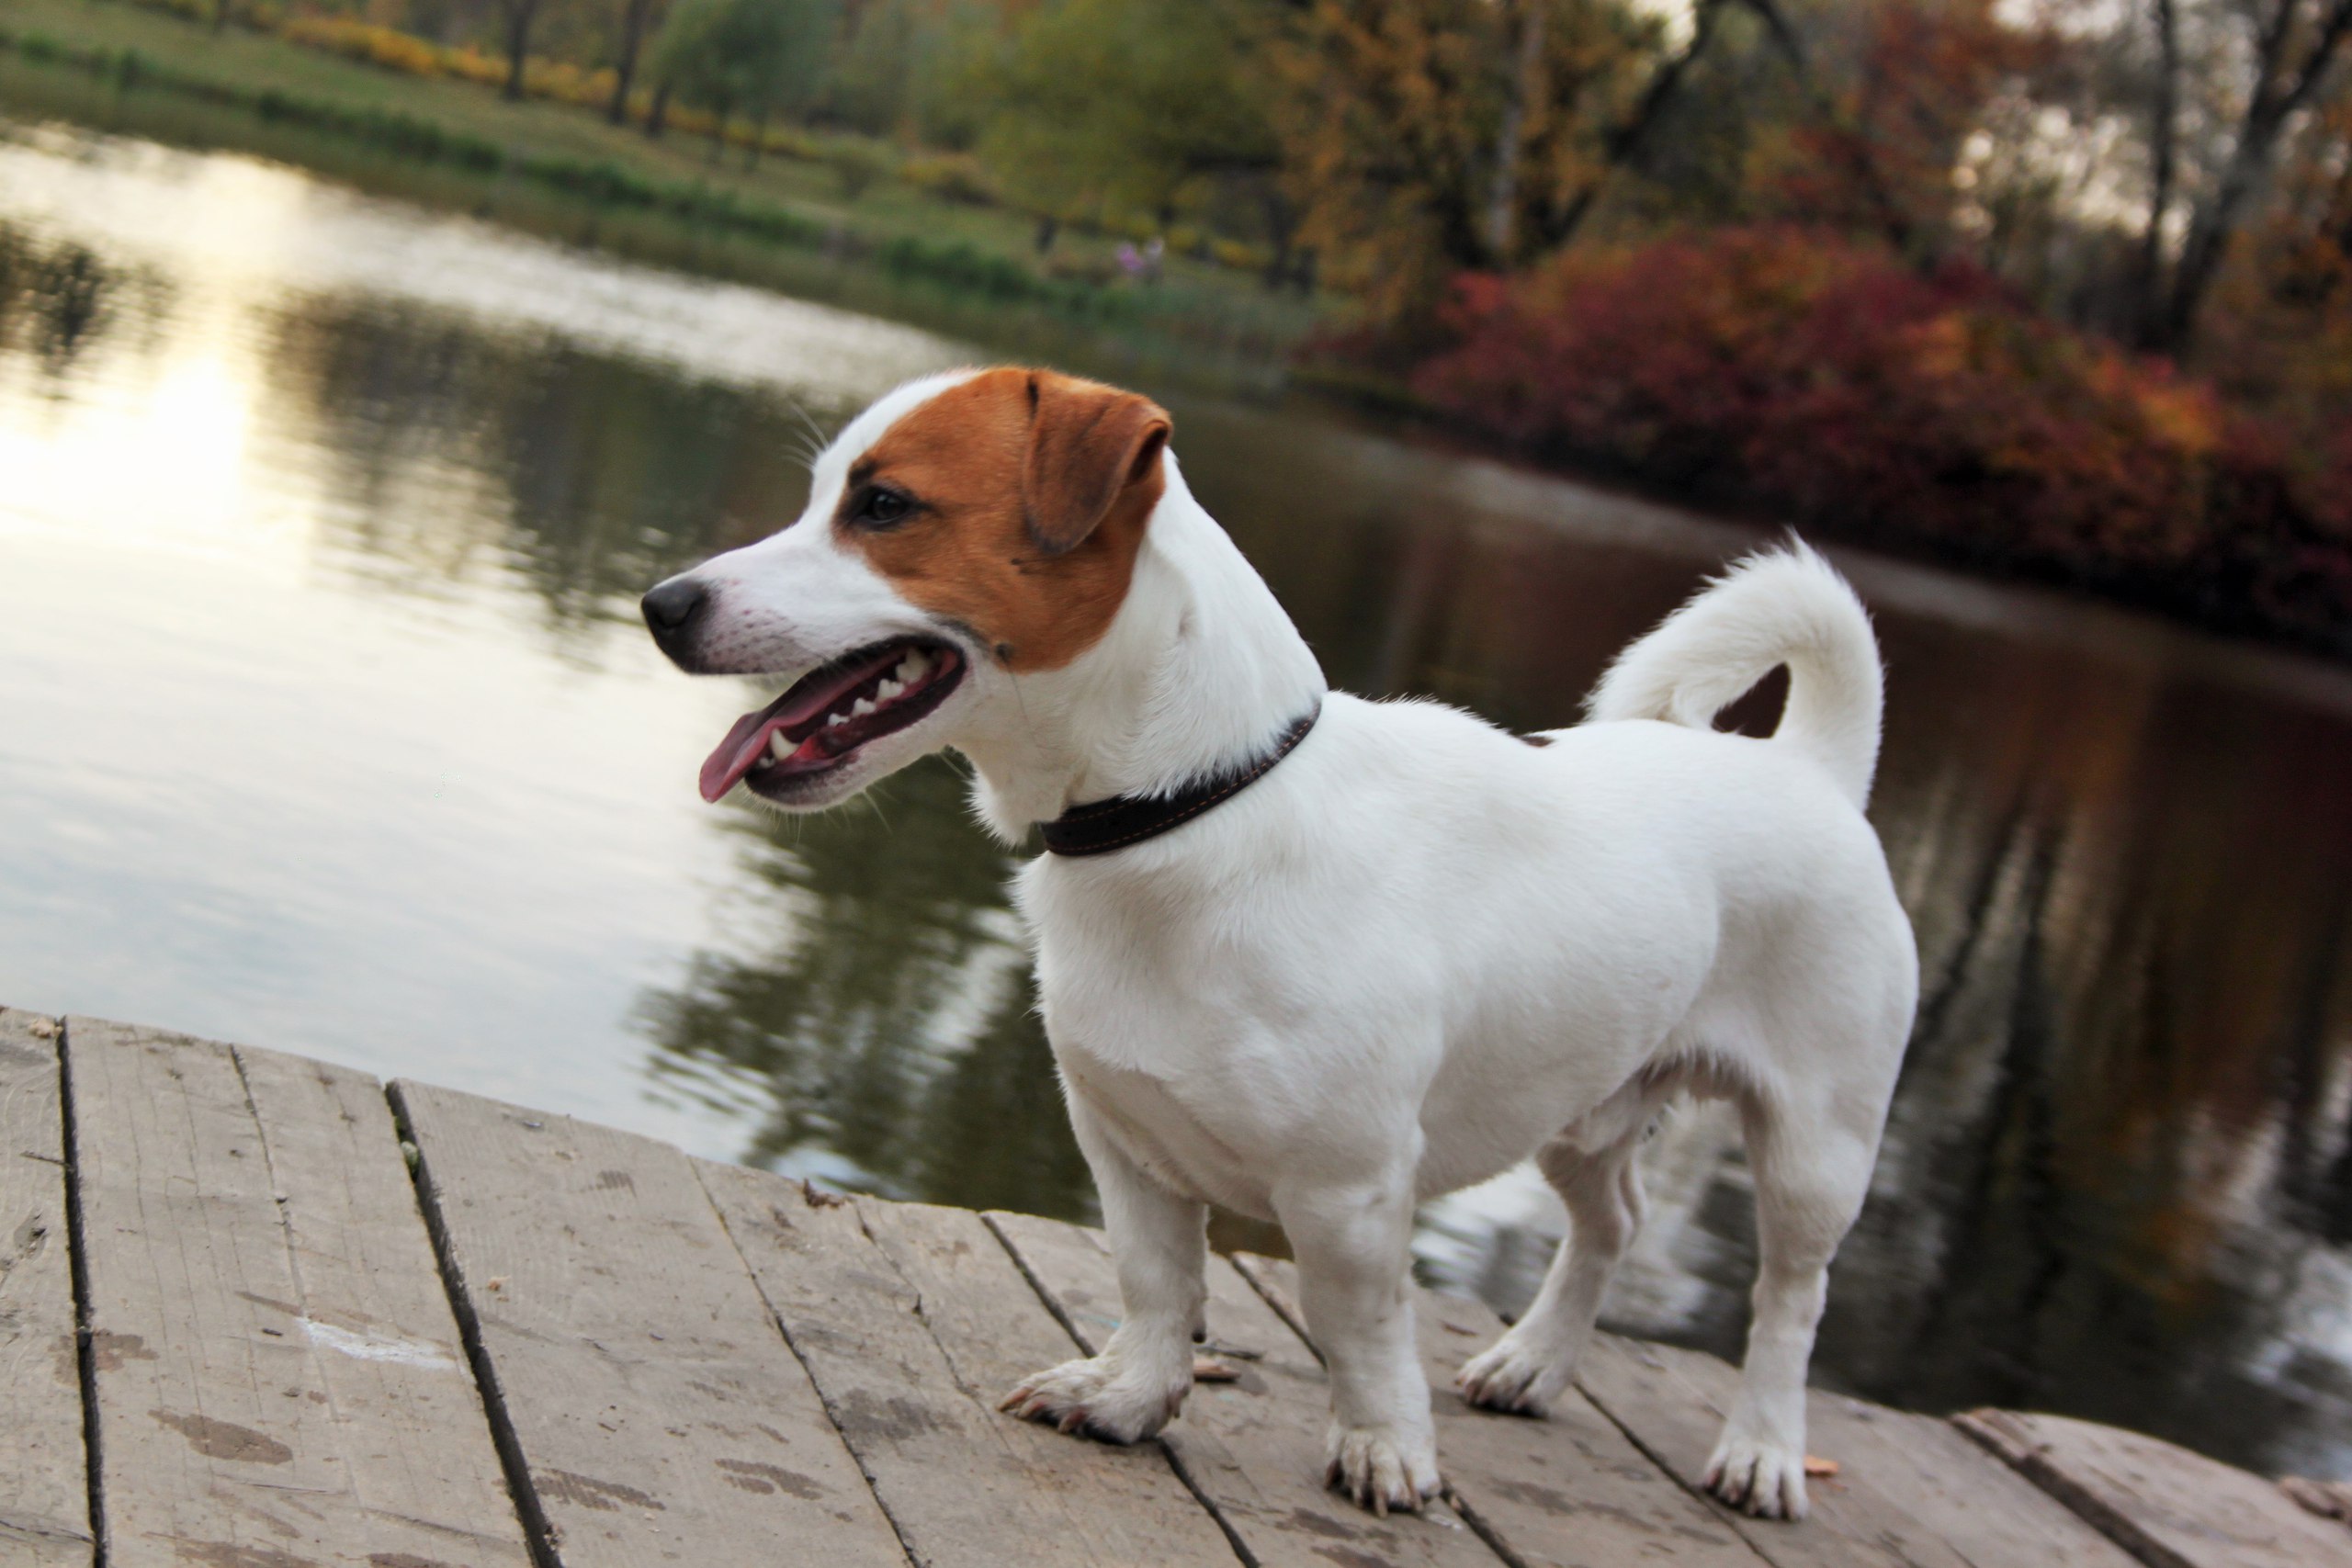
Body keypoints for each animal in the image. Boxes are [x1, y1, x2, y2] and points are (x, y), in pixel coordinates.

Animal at [639, 368, 1909, 1523]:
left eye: (885, 506)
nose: (662, 604)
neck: (1189, 809)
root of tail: (1808, 767)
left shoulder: (1349, 1190)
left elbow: (1361, 1329)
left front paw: (1385, 1450)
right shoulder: (1121, 1142)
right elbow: (1157, 1283)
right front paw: (1133, 1397)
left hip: (1815, 1149)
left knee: (1789, 1303)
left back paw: (1761, 1450)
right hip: (1583, 1107)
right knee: (1614, 1225)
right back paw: (1534, 1363)